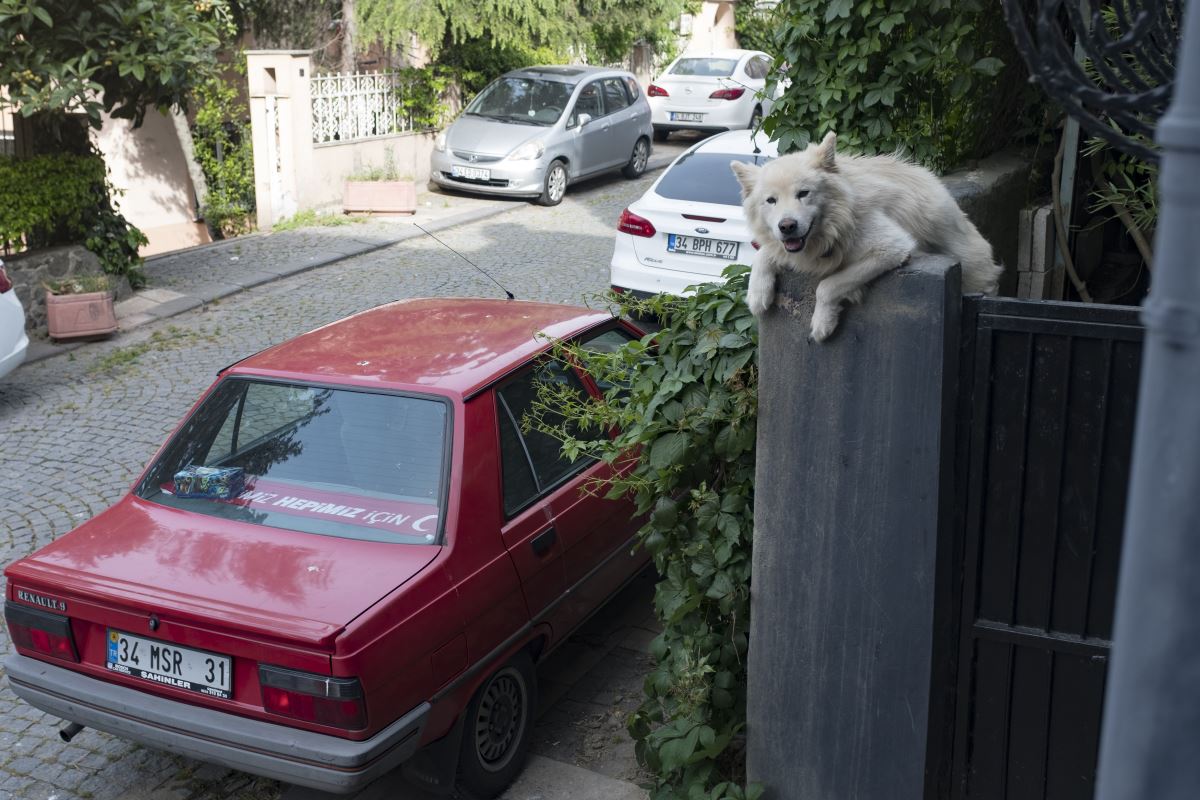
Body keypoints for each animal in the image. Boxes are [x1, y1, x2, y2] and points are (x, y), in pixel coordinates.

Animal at [729, 133, 1003, 340]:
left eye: (803, 193)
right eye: (771, 200)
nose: (787, 226)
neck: (837, 222)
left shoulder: (893, 247)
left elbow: (828, 286)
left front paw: (823, 322)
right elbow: (763, 255)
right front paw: (758, 294)